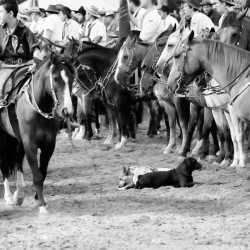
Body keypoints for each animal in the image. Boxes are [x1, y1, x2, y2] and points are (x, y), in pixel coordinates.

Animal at [0, 52, 76, 213]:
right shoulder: (30, 143)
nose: (67, 110)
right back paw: (9, 198)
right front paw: (41, 206)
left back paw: (19, 195)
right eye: (55, 78)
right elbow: (37, 175)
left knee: (18, 161)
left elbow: (43, 172)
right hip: (3, 136)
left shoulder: (49, 144)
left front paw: (37, 199)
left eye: (72, 78)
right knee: (4, 164)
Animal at [164, 31, 250, 168]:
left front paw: (237, 161)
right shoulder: (220, 110)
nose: (169, 84)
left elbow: (234, 134)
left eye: (176, 55)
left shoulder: (228, 111)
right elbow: (226, 133)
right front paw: (229, 159)